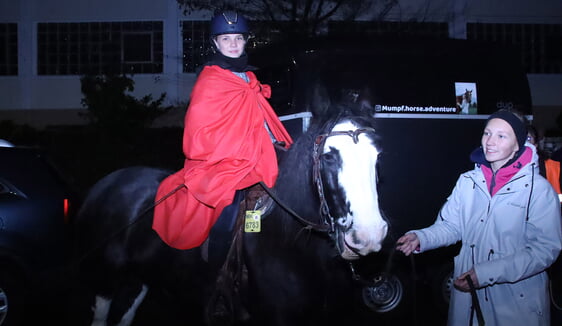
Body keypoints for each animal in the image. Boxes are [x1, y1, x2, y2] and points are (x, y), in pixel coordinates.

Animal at [72, 100, 388, 324]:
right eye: (329, 156)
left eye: (377, 156)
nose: (369, 235)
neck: (292, 244)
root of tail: (104, 184)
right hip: (103, 279)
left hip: (138, 280)